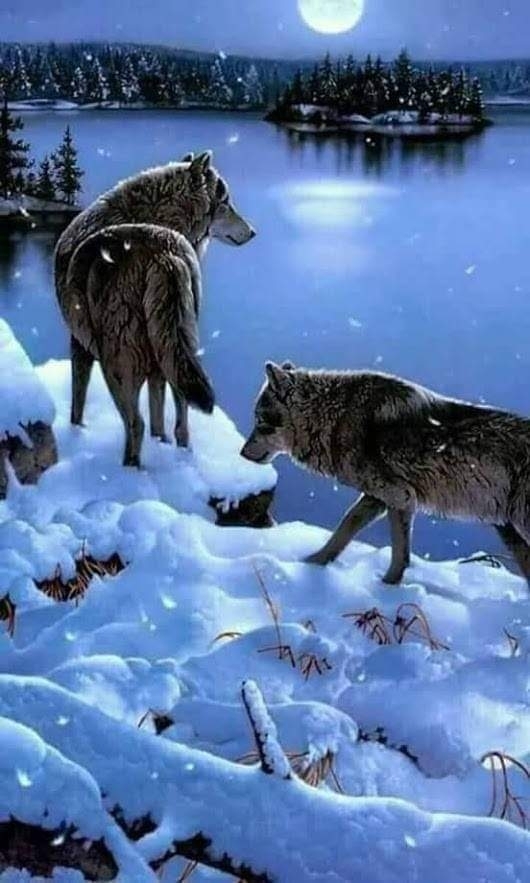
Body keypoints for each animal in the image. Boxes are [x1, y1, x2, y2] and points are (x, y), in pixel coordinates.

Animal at [66, 223, 214, 466]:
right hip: (179, 355)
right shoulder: (157, 368)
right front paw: (161, 442)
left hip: (117, 368)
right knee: (182, 423)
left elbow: (77, 400)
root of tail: (163, 257)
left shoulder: (79, 344)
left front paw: (75, 433)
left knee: (136, 424)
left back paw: (129, 468)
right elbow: (158, 416)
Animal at [241, 362, 530, 585]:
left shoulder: (401, 497)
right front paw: (311, 563)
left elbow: (399, 554)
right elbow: (344, 529)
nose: (242, 453)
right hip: (509, 532)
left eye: (259, 421)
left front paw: (387, 588)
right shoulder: (376, 498)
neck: (334, 418)